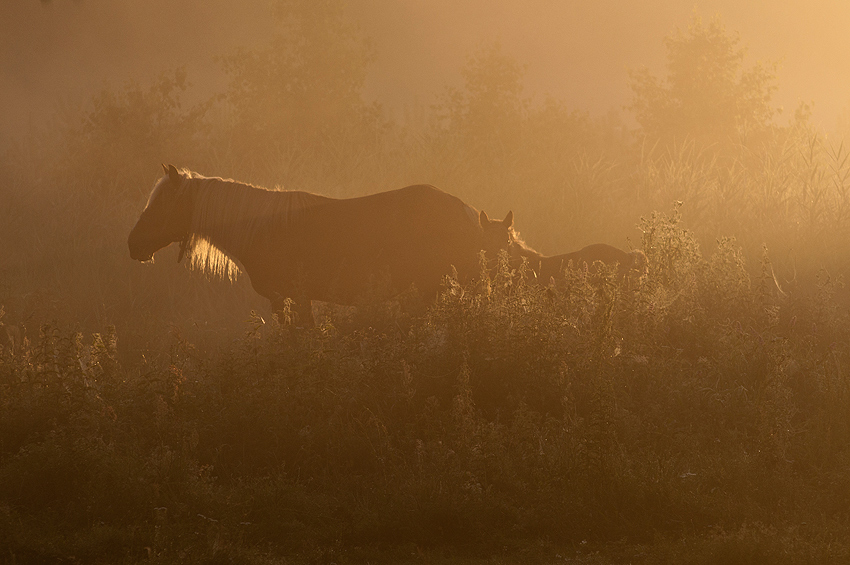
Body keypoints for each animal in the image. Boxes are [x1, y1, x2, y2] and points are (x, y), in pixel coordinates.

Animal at [125, 164, 510, 322]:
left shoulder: (287, 299)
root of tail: (464, 210)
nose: (133, 244)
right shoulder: (297, 299)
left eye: (162, 203)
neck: (263, 228)